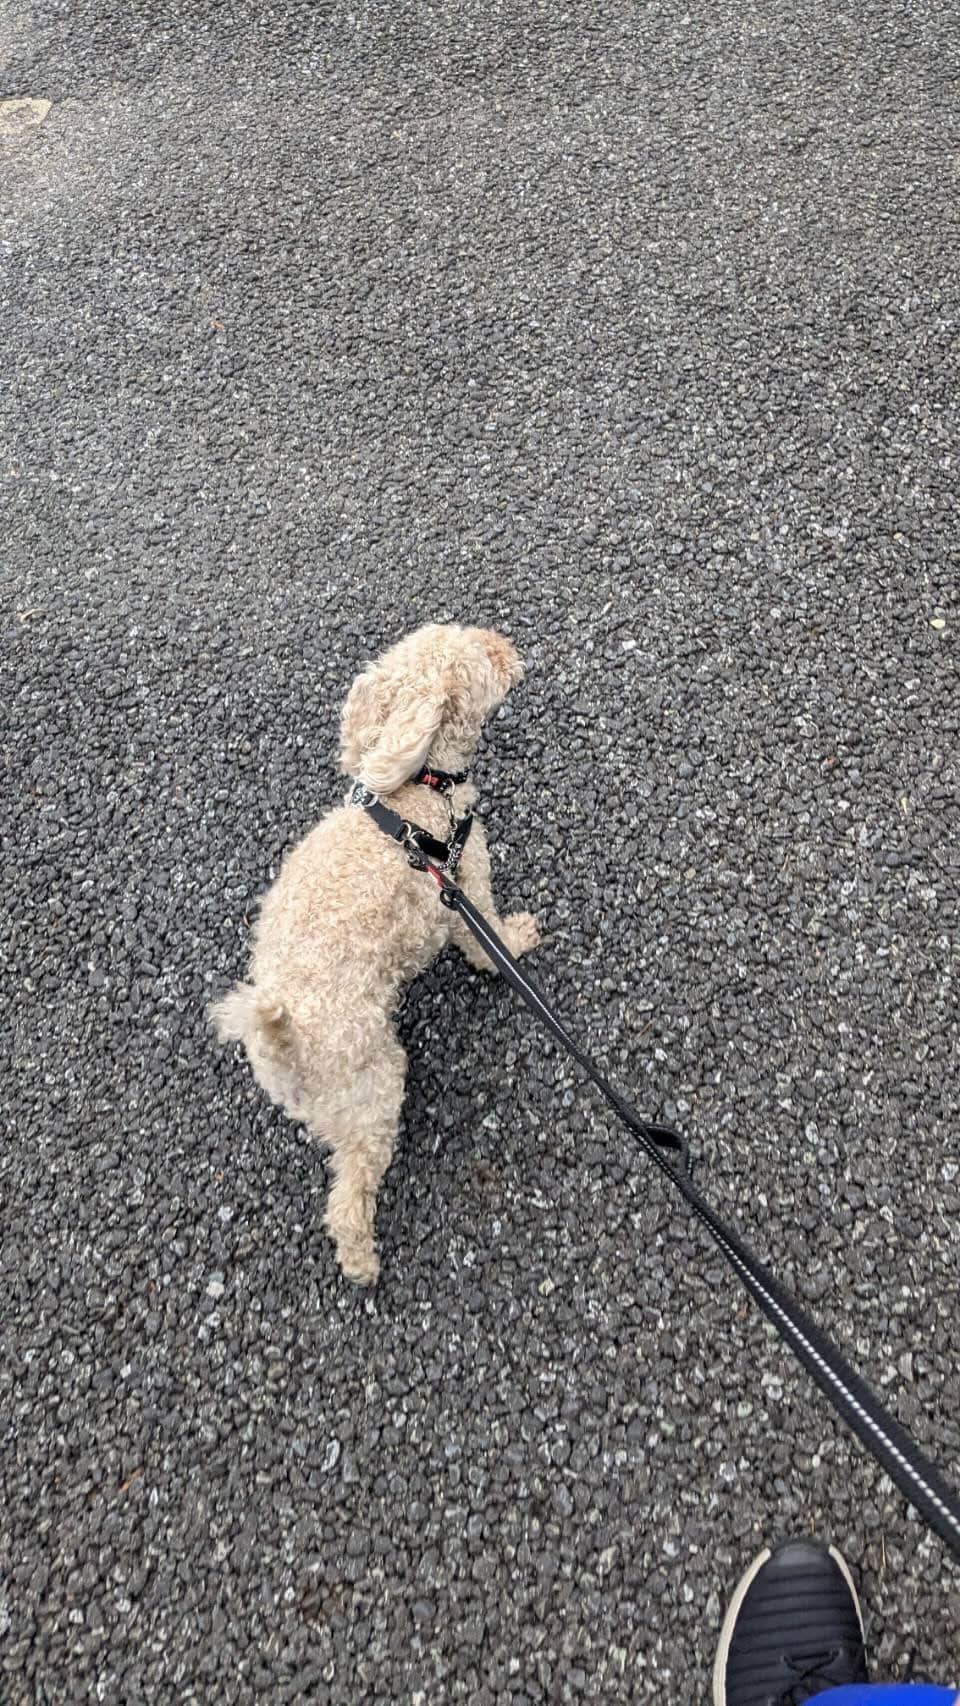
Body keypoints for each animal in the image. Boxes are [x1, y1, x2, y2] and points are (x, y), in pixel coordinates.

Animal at [211, 624, 542, 1282]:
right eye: (477, 658)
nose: (506, 643)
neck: (418, 794)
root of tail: (281, 1040)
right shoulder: (465, 889)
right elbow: (487, 941)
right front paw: (517, 943)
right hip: (372, 1085)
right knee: (350, 1190)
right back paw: (362, 1260)